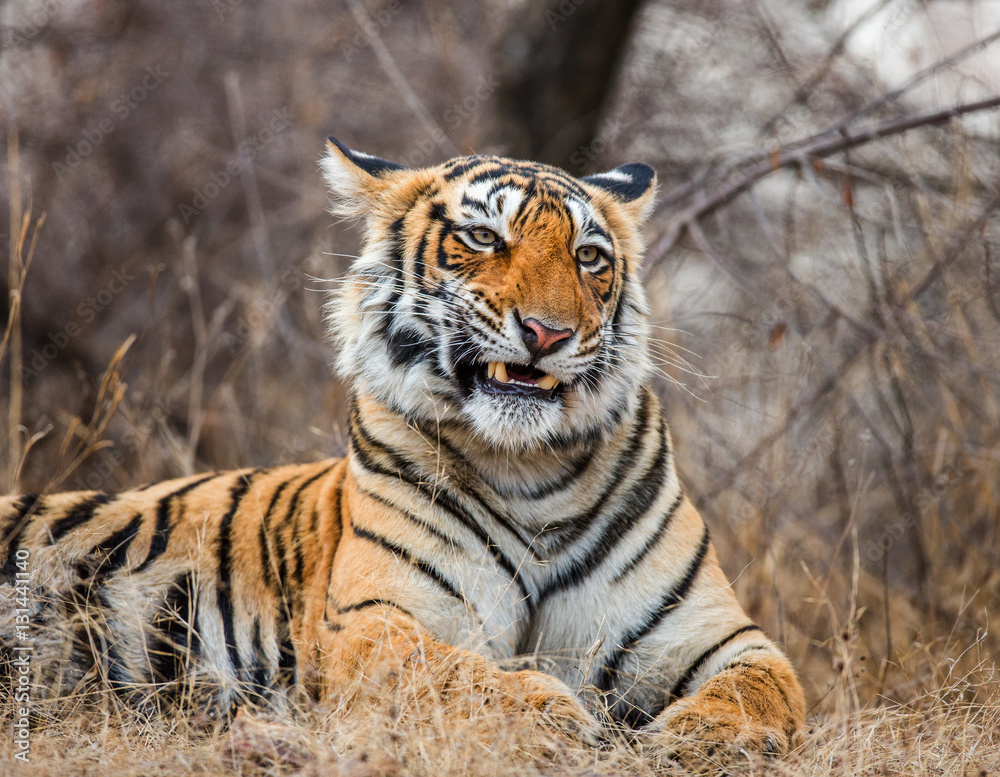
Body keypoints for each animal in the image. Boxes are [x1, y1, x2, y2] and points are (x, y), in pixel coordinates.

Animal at [0, 138, 805, 768]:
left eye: (588, 257)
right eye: (483, 239)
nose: (547, 332)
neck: (530, 469)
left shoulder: (717, 635)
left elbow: (765, 689)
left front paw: (701, 737)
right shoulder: (372, 619)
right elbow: (450, 673)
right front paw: (554, 718)